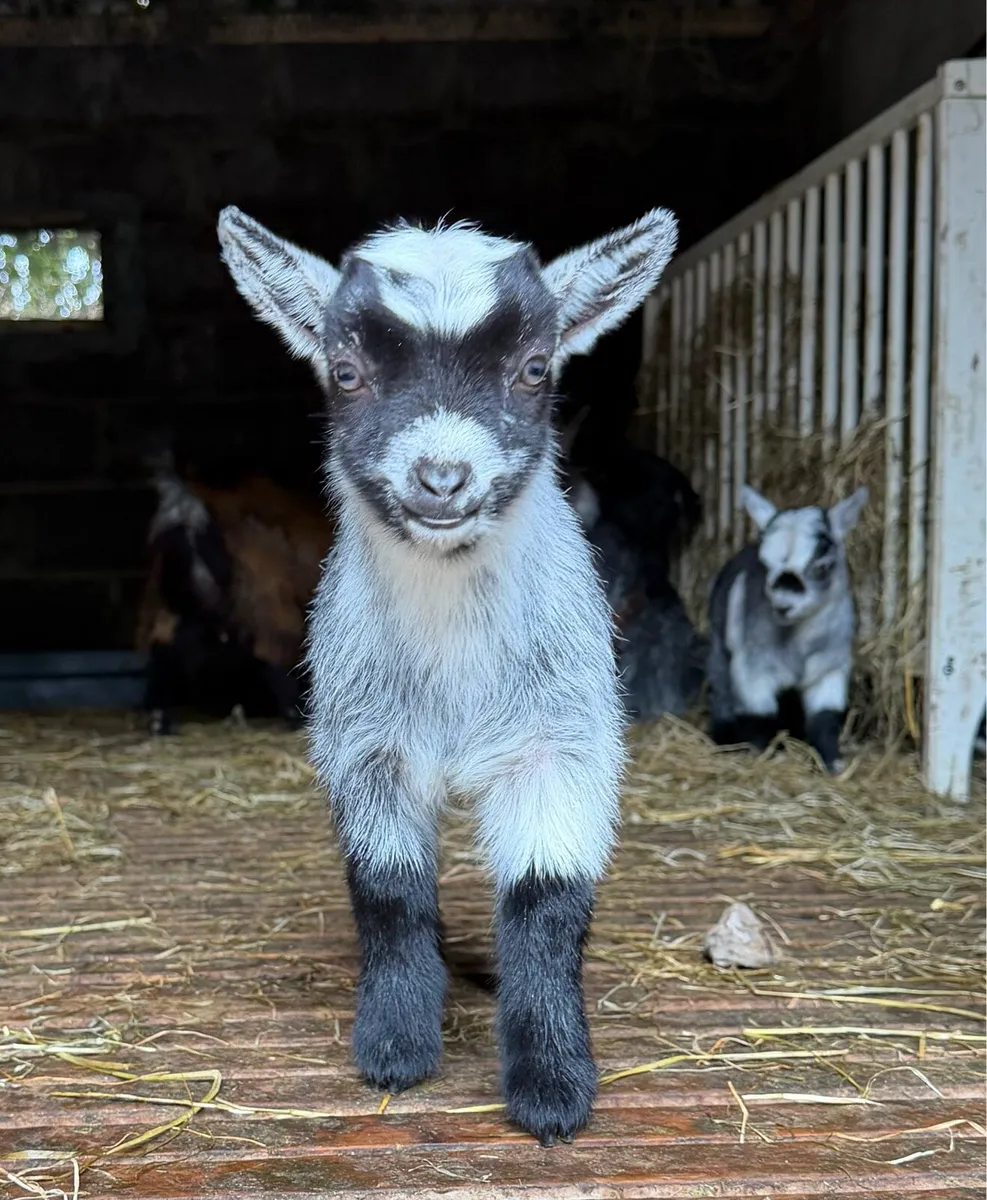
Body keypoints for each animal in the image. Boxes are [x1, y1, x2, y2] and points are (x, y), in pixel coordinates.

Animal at [135, 455, 333, 735]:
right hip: (263, 599)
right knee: (272, 654)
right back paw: (296, 714)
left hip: (168, 601)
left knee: (164, 646)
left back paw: (158, 717)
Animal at [217, 203, 678, 1145]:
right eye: (346, 372)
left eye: (534, 368)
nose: (441, 477)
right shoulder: (367, 744)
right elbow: (389, 895)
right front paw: (394, 1049)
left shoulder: (561, 743)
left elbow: (546, 901)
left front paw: (551, 1089)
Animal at [707, 484, 868, 773]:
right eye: (765, 564)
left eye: (823, 566)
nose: (783, 604)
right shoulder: (753, 668)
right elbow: (760, 716)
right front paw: (762, 755)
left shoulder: (830, 668)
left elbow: (825, 717)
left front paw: (833, 763)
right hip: (719, 647)